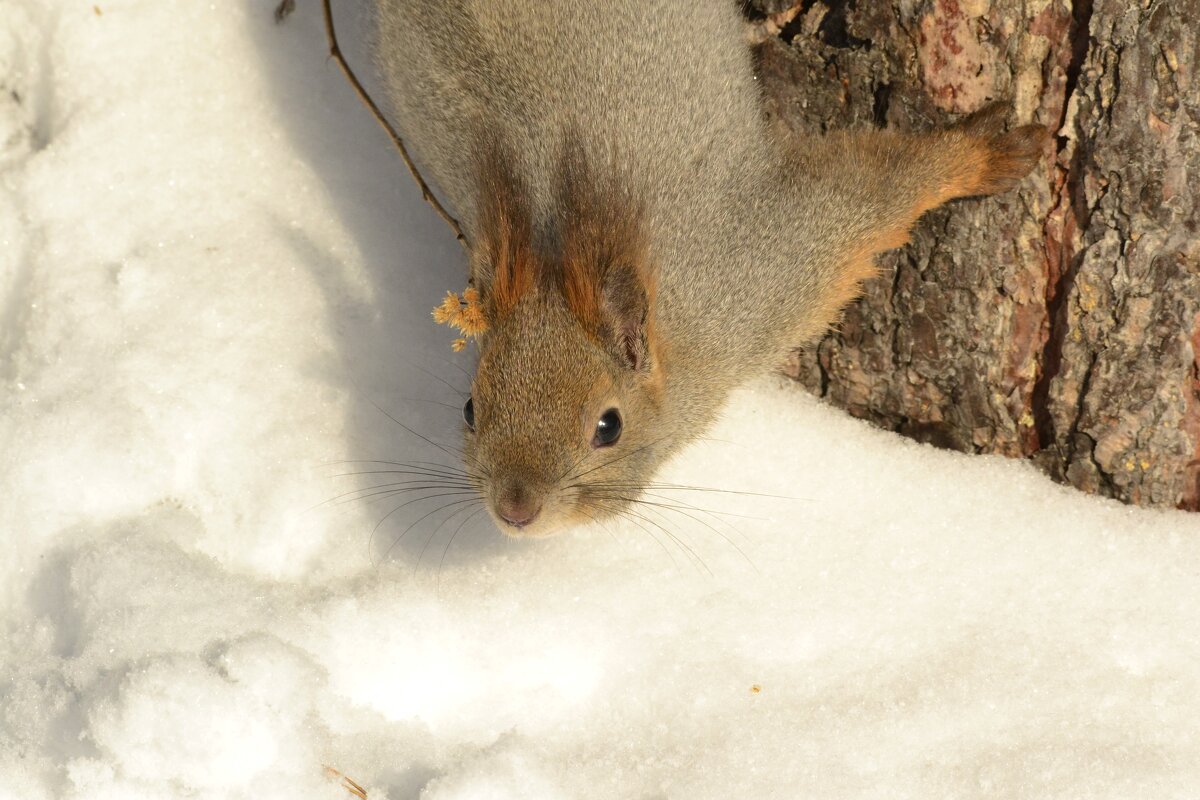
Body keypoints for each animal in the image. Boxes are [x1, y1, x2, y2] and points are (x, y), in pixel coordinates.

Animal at [369, 3, 1046, 537]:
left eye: (608, 426)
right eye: (470, 410)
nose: (515, 511)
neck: (558, 244)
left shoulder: (768, 272)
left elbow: (881, 188)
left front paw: (979, 153)